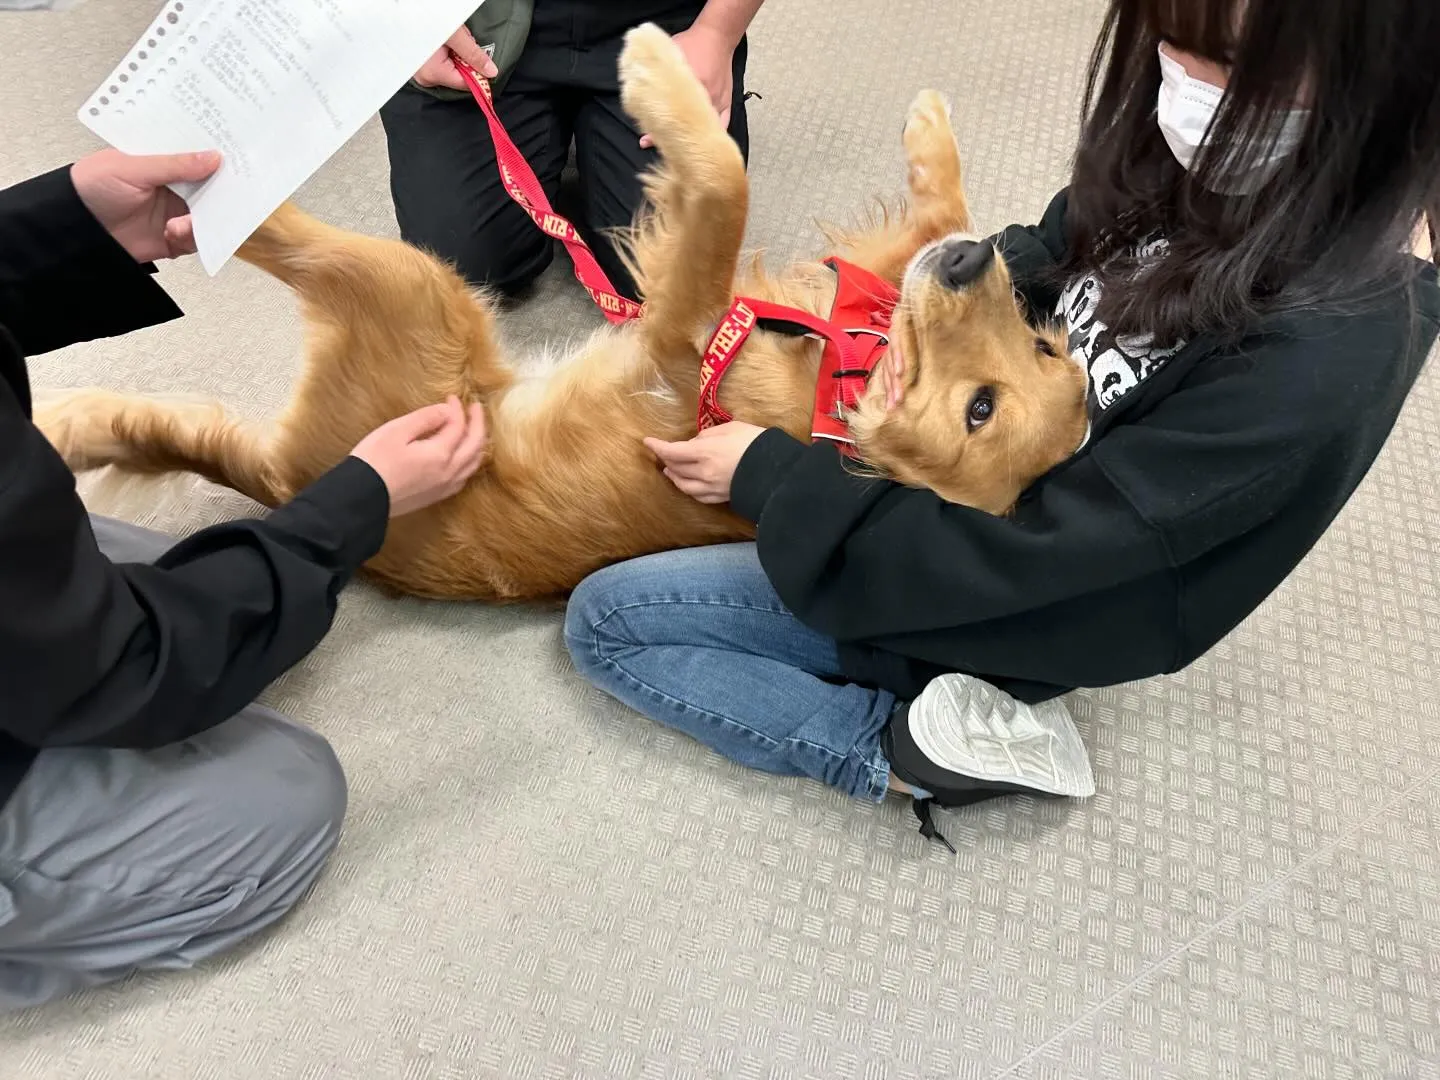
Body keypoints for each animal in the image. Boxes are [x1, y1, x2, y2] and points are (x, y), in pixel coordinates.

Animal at [39, 25, 1082, 604]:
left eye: (980, 411)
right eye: (1044, 345)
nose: (974, 267)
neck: (830, 389)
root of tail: (290, 481)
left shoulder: (678, 341)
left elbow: (724, 181)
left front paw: (659, 72)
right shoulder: (846, 286)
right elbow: (926, 218)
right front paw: (933, 138)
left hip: (418, 290)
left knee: (252, 226)